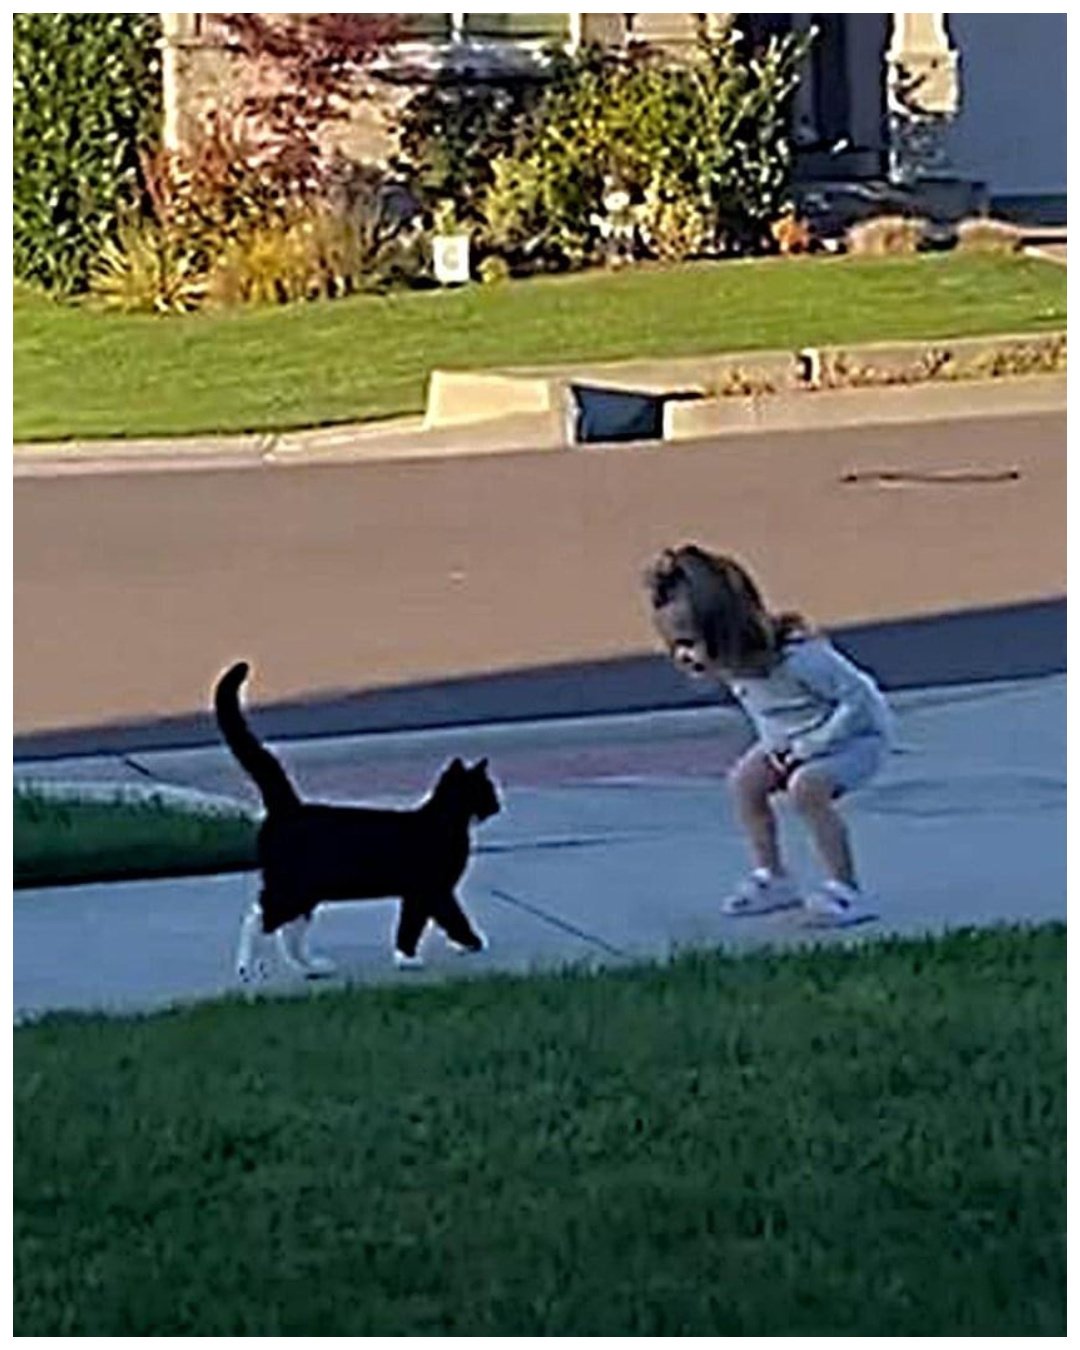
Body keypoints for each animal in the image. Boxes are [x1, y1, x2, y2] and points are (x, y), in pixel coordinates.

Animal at [214, 661, 500, 980]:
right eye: (488, 790)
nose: (499, 804)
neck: (444, 821)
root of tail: (290, 807)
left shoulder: (424, 892)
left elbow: (422, 921)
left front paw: (425, 953)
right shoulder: (431, 889)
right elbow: (438, 919)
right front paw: (442, 950)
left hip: (304, 892)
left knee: (289, 931)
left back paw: (313, 967)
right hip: (291, 887)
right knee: (259, 916)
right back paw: (246, 968)